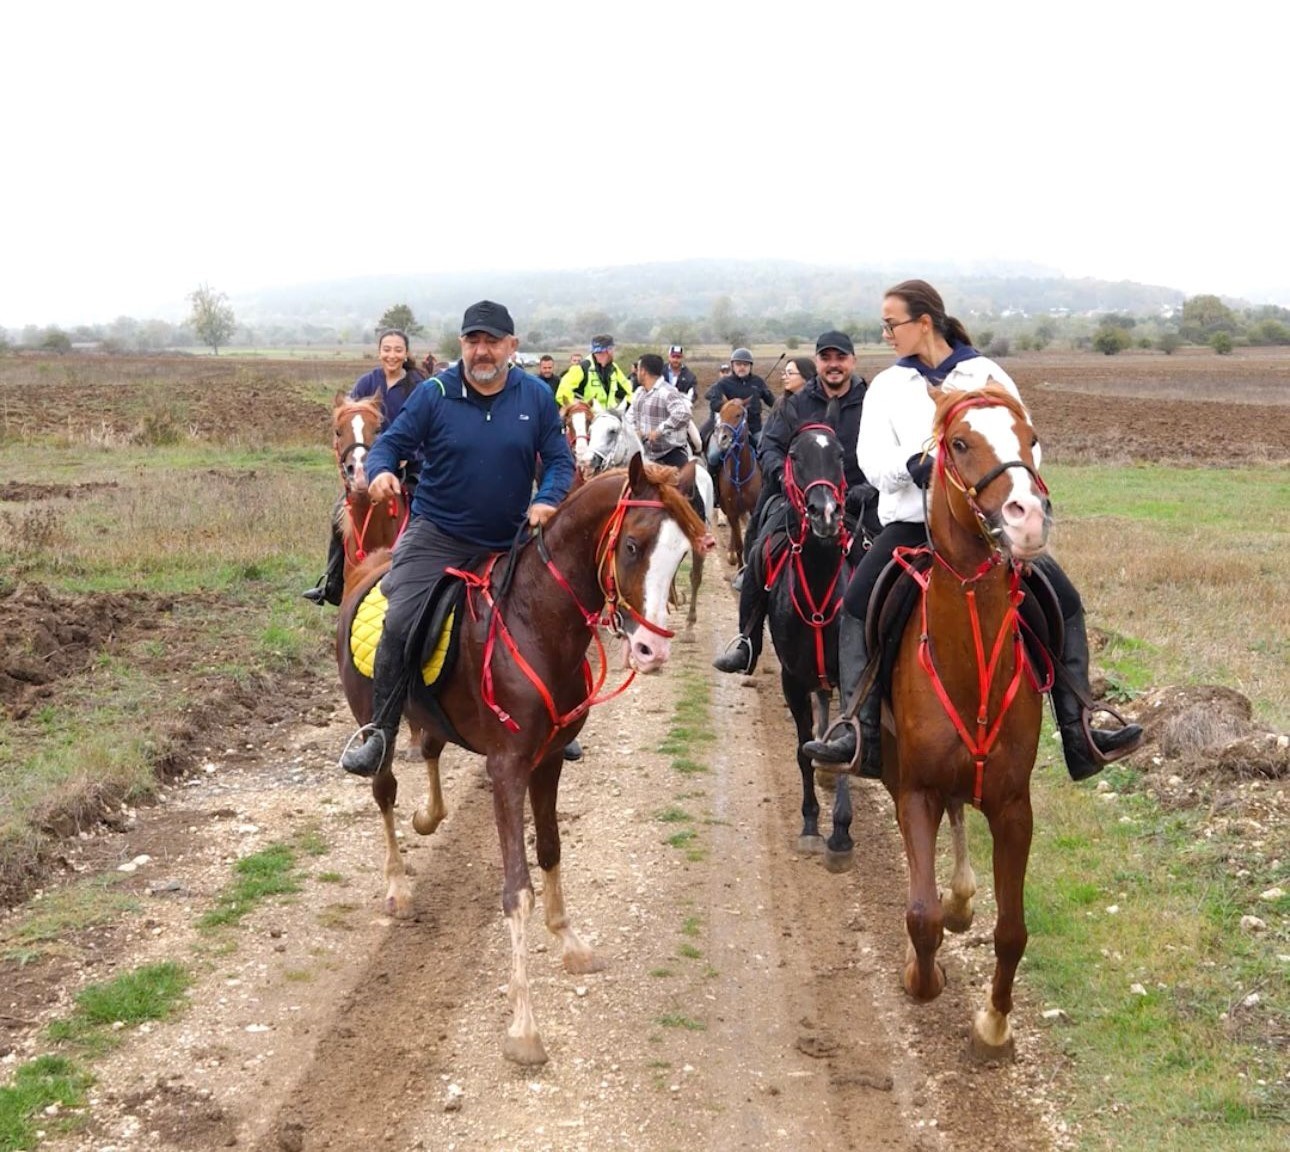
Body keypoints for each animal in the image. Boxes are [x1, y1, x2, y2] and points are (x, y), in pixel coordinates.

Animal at [335, 454, 706, 1062]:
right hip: (373, 716)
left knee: (430, 751)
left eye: (680, 553)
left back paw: (428, 816)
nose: (652, 651)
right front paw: (524, 1026)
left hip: (432, 715)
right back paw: (397, 885)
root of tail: (370, 566)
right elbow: (517, 892)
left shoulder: (548, 759)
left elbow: (551, 850)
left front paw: (570, 940)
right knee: (384, 788)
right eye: (631, 545)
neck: (535, 623)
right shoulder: (507, 769)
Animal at [712, 394, 758, 570]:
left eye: (738, 414)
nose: (722, 438)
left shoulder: (754, 508)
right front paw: (739, 567)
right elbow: (739, 544)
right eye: (722, 413)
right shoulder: (731, 510)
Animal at [882, 384, 1052, 1062]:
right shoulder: (916, 789)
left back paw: (961, 896)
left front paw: (995, 1025)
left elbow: (1012, 930)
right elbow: (919, 915)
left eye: (1031, 439)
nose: (1028, 516)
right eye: (958, 443)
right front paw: (920, 976)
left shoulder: (1013, 806)